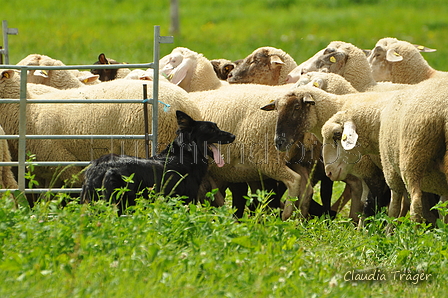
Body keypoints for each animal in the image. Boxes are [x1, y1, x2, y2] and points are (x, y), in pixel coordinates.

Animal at [80, 110, 236, 213]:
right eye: (212, 129)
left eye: (216, 126)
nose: (233, 136)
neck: (187, 153)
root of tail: (98, 166)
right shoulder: (185, 199)